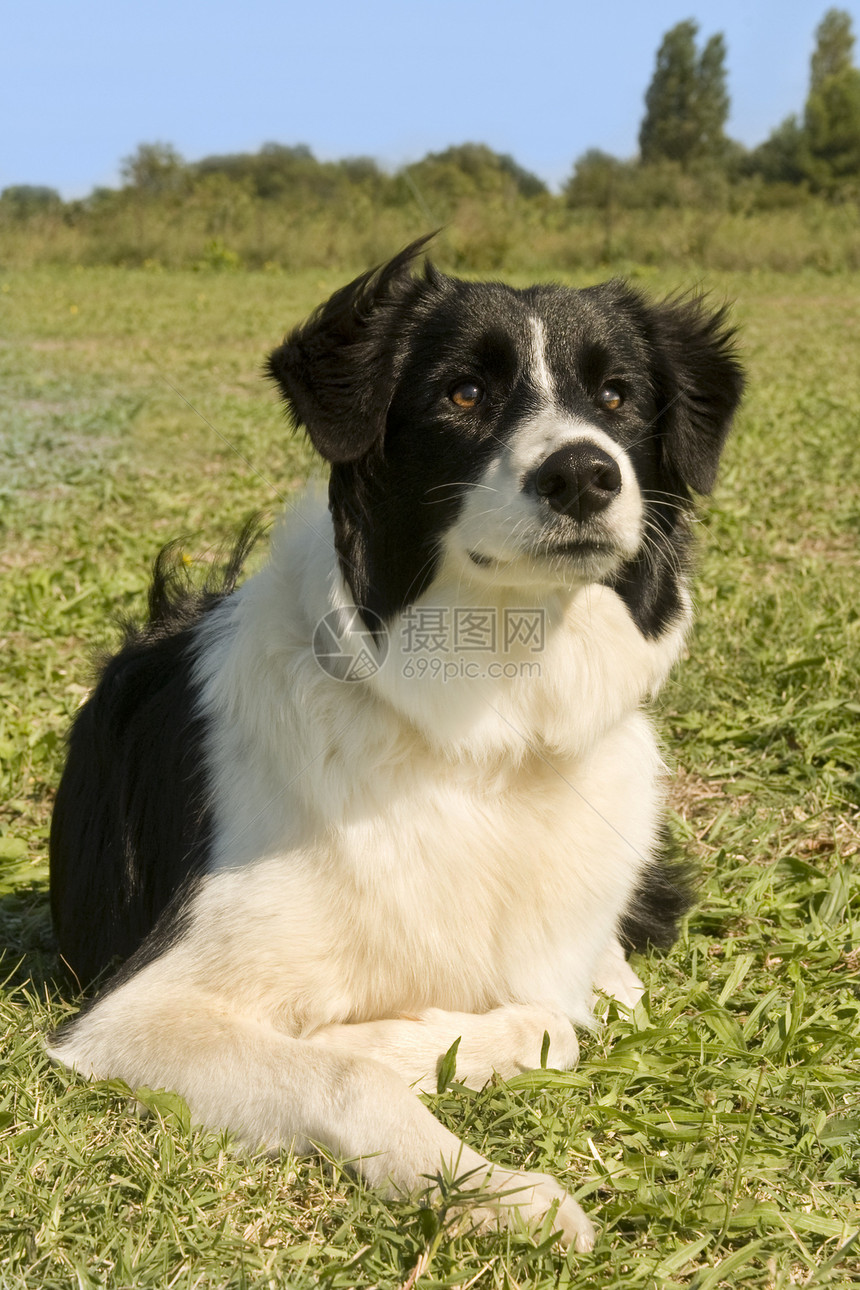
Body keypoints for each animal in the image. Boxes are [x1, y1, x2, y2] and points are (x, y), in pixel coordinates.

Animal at [50, 239, 742, 1248]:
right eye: (463, 393)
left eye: (618, 397)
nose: (584, 473)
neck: (491, 722)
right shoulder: (131, 1015)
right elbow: (356, 1070)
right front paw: (505, 1193)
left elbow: (557, 1017)